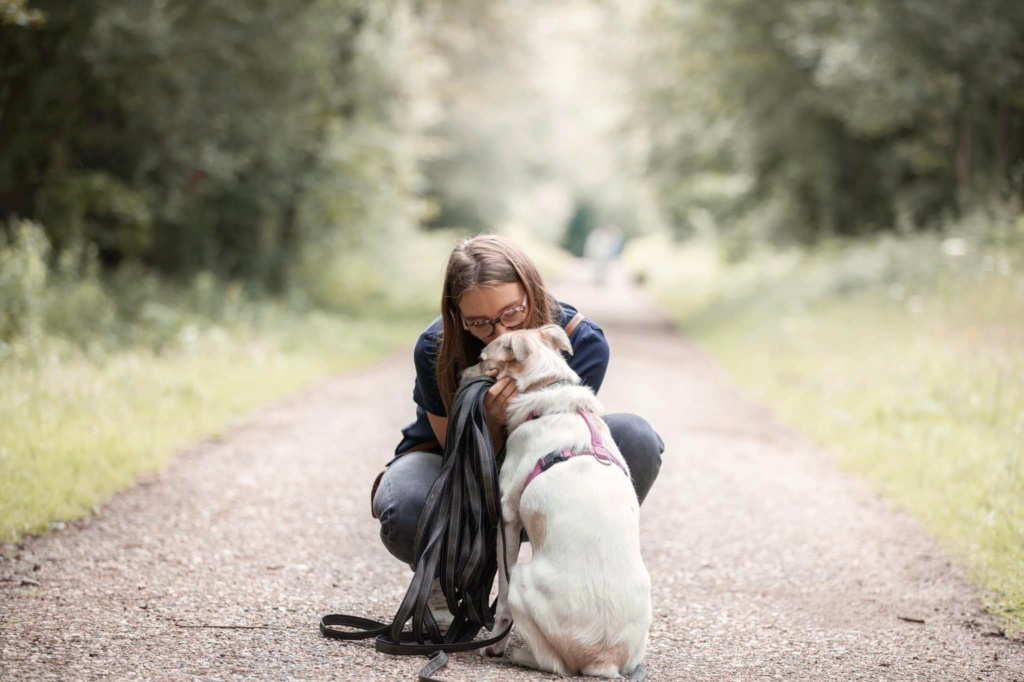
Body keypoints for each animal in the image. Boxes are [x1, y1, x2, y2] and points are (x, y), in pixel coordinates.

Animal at [462, 323, 647, 675]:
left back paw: (518, 654)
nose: (460, 374)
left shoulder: (507, 518)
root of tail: (604, 659)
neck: (544, 386)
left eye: (481, 358)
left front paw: (494, 645)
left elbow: (501, 596)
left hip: (522, 577)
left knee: (555, 663)